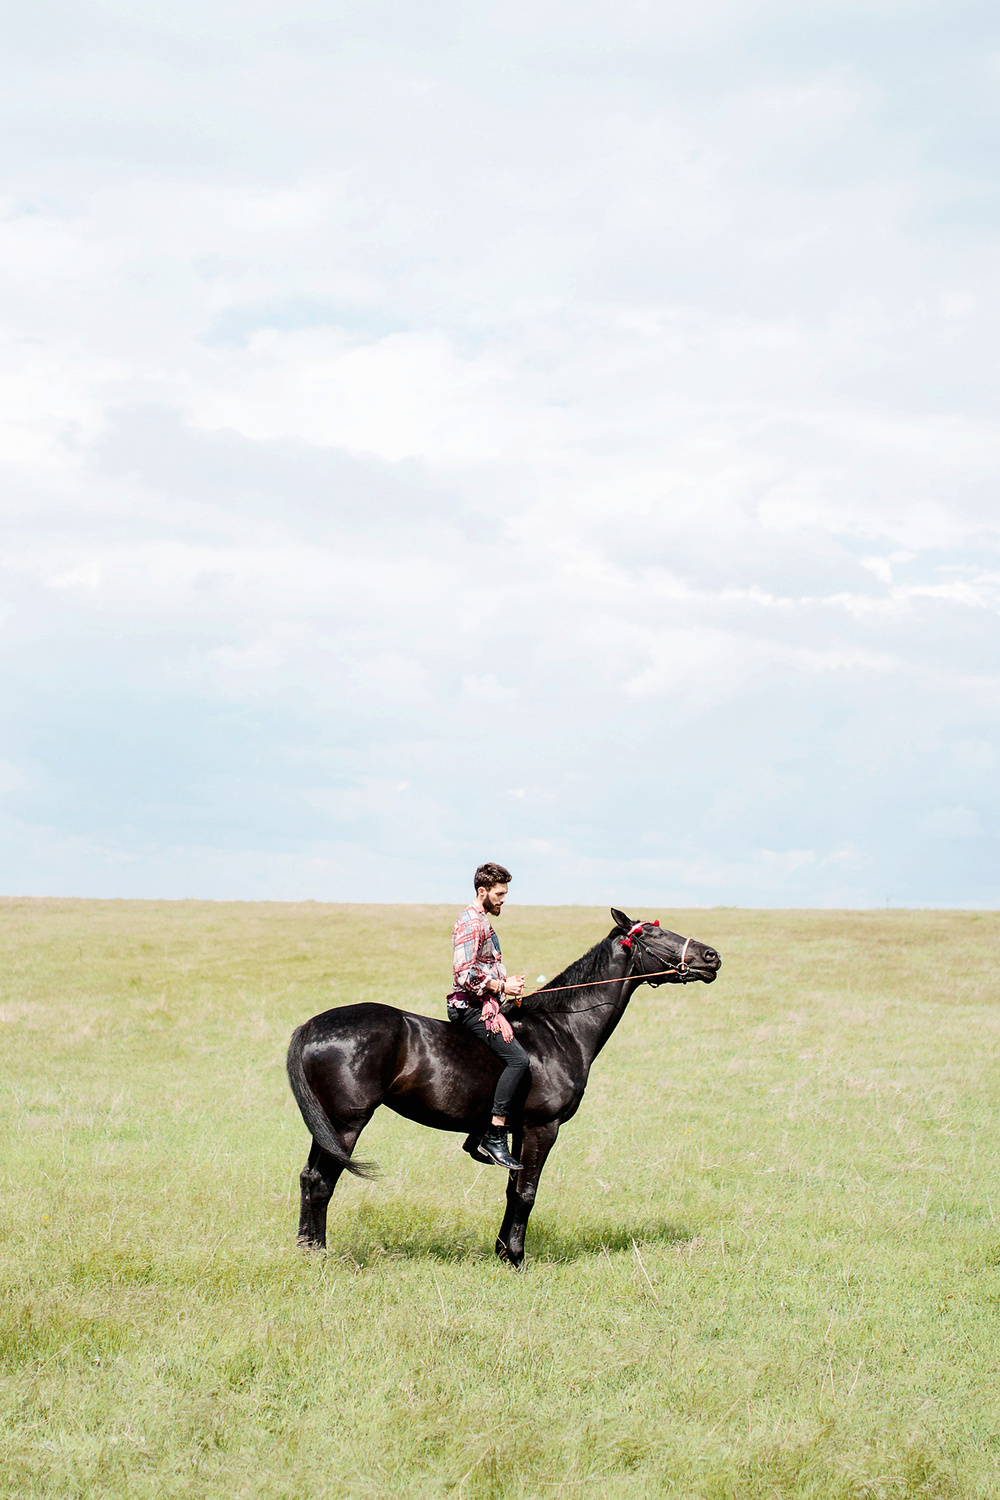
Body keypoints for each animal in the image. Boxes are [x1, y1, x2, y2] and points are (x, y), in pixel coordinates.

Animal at [284, 912, 722, 1266]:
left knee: (309, 1178)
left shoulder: (517, 1131)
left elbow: (513, 1190)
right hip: (346, 1124)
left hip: (328, 1125)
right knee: (322, 1182)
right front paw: (515, 1257)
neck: (561, 1030)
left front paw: (501, 1251)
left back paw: (306, 1249)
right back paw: (319, 1254)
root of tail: (313, 1025)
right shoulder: (542, 1128)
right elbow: (526, 1193)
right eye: (652, 933)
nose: (711, 956)